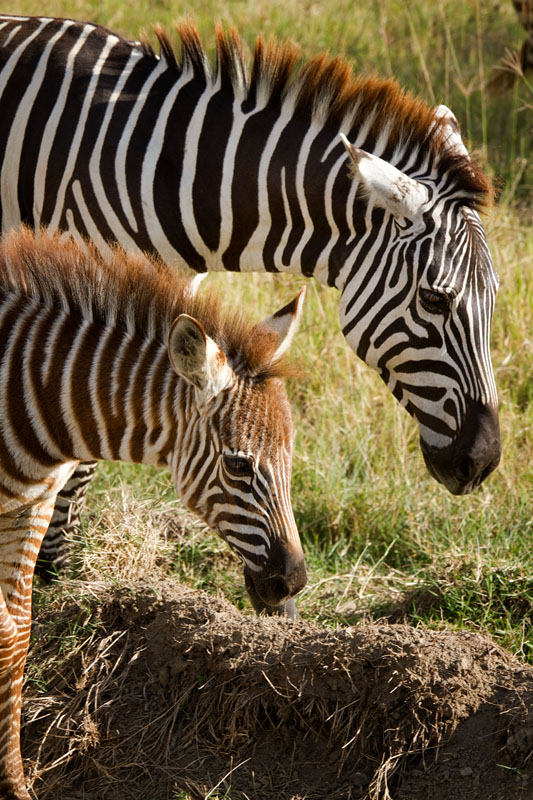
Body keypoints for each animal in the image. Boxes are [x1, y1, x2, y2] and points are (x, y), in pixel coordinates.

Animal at [0, 226, 307, 800]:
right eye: (238, 465)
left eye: (291, 460)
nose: (292, 583)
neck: (34, 392)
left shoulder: (33, 505)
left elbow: (16, 633)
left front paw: (14, 781)